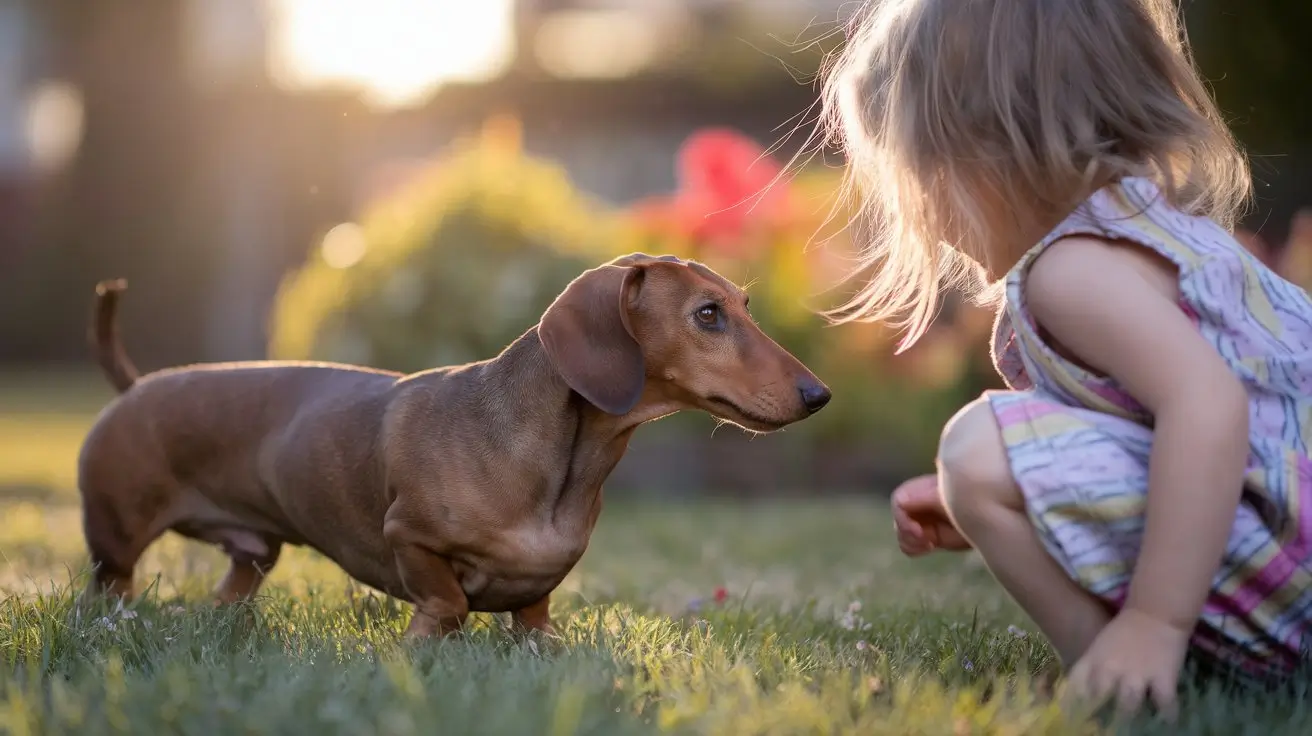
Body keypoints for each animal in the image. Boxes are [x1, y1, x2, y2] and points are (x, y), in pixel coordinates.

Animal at [76, 250, 829, 632]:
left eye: (744, 307)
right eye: (707, 315)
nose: (819, 394)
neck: (559, 465)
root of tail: (137, 386)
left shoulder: (538, 600)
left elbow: (537, 623)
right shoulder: (410, 538)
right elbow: (447, 601)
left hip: (253, 556)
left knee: (233, 587)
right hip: (114, 544)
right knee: (108, 591)